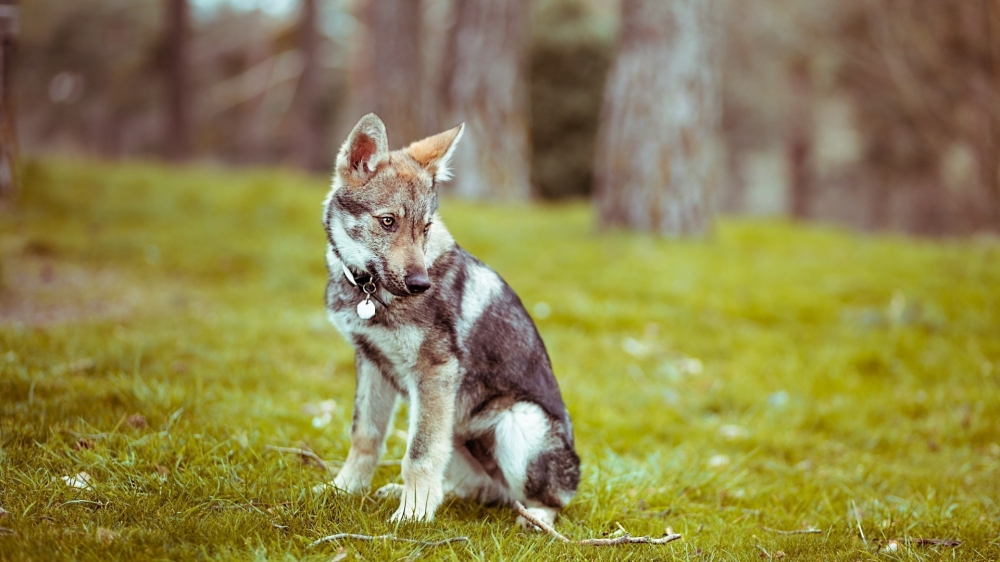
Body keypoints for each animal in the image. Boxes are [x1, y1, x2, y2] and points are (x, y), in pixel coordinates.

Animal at [322, 112, 580, 524]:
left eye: (425, 228)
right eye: (388, 222)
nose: (420, 284)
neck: (369, 292)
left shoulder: (435, 372)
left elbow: (418, 454)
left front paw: (411, 516)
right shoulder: (371, 363)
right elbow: (365, 436)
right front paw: (343, 490)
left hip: (518, 424)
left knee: (552, 500)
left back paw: (536, 520)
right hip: (457, 434)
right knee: (475, 489)